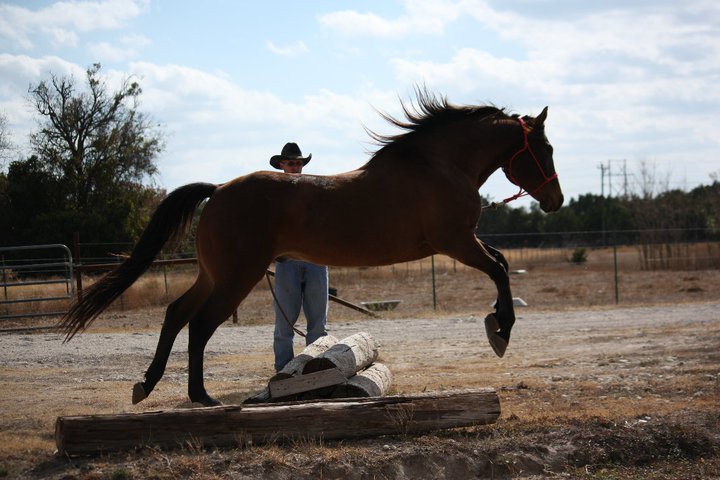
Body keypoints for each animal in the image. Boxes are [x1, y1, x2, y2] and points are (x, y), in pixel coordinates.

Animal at [57, 90, 564, 404]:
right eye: (546, 149)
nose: (556, 201)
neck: (437, 164)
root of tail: (218, 189)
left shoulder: (460, 242)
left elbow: (501, 264)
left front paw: (498, 325)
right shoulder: (456, 241)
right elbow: (500, 268)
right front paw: (500, 330)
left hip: (214, 274)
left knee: (176, 313)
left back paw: (147, 385)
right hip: (237, 276)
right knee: (199, 323)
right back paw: (201, 397)